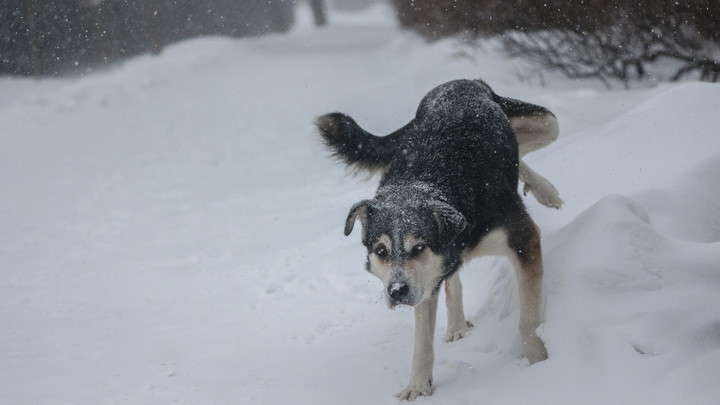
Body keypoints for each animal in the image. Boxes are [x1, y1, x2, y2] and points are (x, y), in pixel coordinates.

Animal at [318, 78, 560, 398]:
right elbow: (422, 340)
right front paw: (418, 387)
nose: (397, 291)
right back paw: (457, 325)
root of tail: (460, 82)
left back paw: (545, 189)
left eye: (418, 247)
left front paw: (537, 364)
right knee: (451, 282)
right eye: (381, 251)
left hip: (545, 123)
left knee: (528, 145)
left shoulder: (522, 240)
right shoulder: (424, 280)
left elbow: (528, 321)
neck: (431, 182)